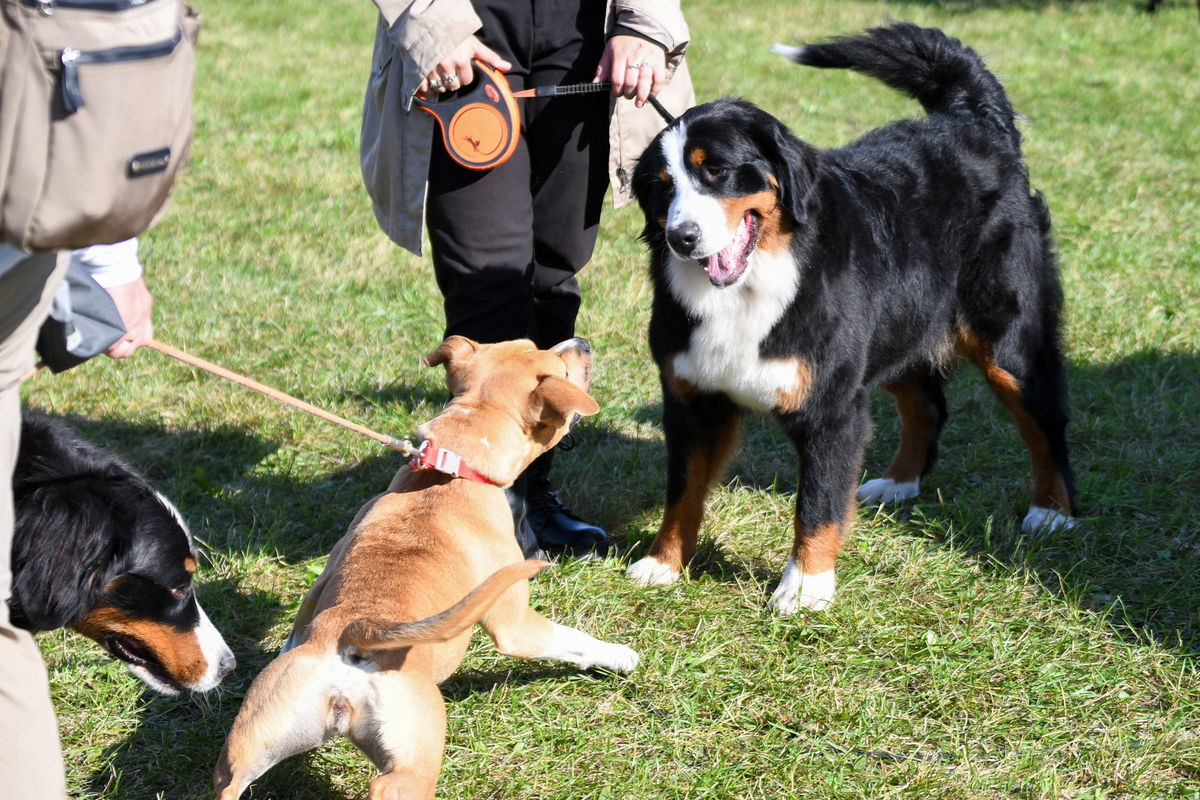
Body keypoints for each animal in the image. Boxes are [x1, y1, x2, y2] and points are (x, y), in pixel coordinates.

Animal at [213, 338, 638, 800]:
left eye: (528, 343)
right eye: (557, 365)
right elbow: (573, 641)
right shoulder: (515, 625)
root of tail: (357, 632)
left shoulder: (320, 582)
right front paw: (619, 655)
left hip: (252, 740)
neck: (455, 467)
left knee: (229, 781)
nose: (582, 343)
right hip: (413, 758)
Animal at [628, 25, 1080, 614]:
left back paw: (1052, 509)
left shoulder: (831, 408)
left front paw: (804, 588)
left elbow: (817, 505)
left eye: (716, 170)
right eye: (662, 186)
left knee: (1045, 422)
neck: (752, 288)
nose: (683, 238)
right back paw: (898, 483)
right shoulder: (692, 398)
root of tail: (973, 121)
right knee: (927, 407)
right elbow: (683, 490)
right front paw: (663, 563)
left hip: (1007, 341)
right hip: (896, 327)